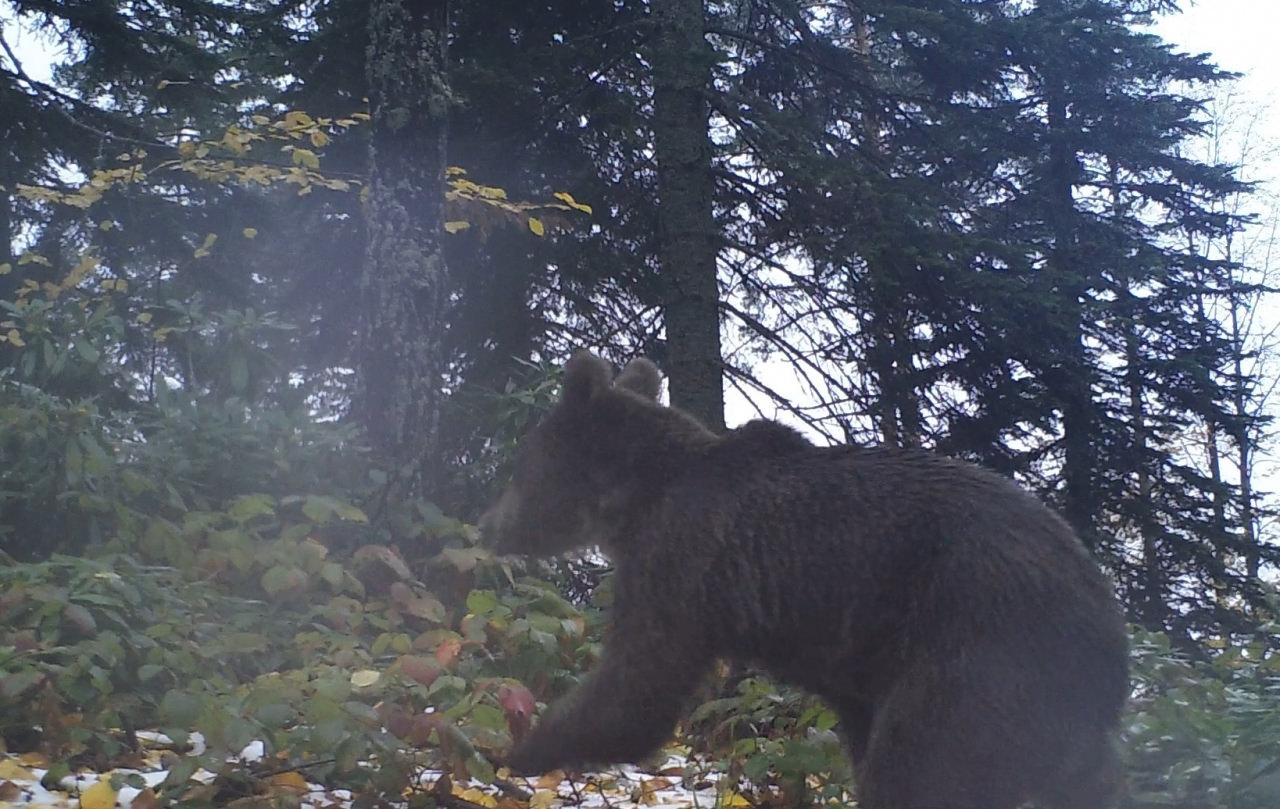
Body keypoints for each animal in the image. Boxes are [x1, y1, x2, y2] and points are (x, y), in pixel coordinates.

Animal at [481, 353, 1131, 809]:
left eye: (520, 466)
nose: (491, 526)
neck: (635, 499)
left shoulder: (680, 561)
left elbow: (636, 689)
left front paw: (518, 753)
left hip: (981, 652)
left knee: (918, 767)